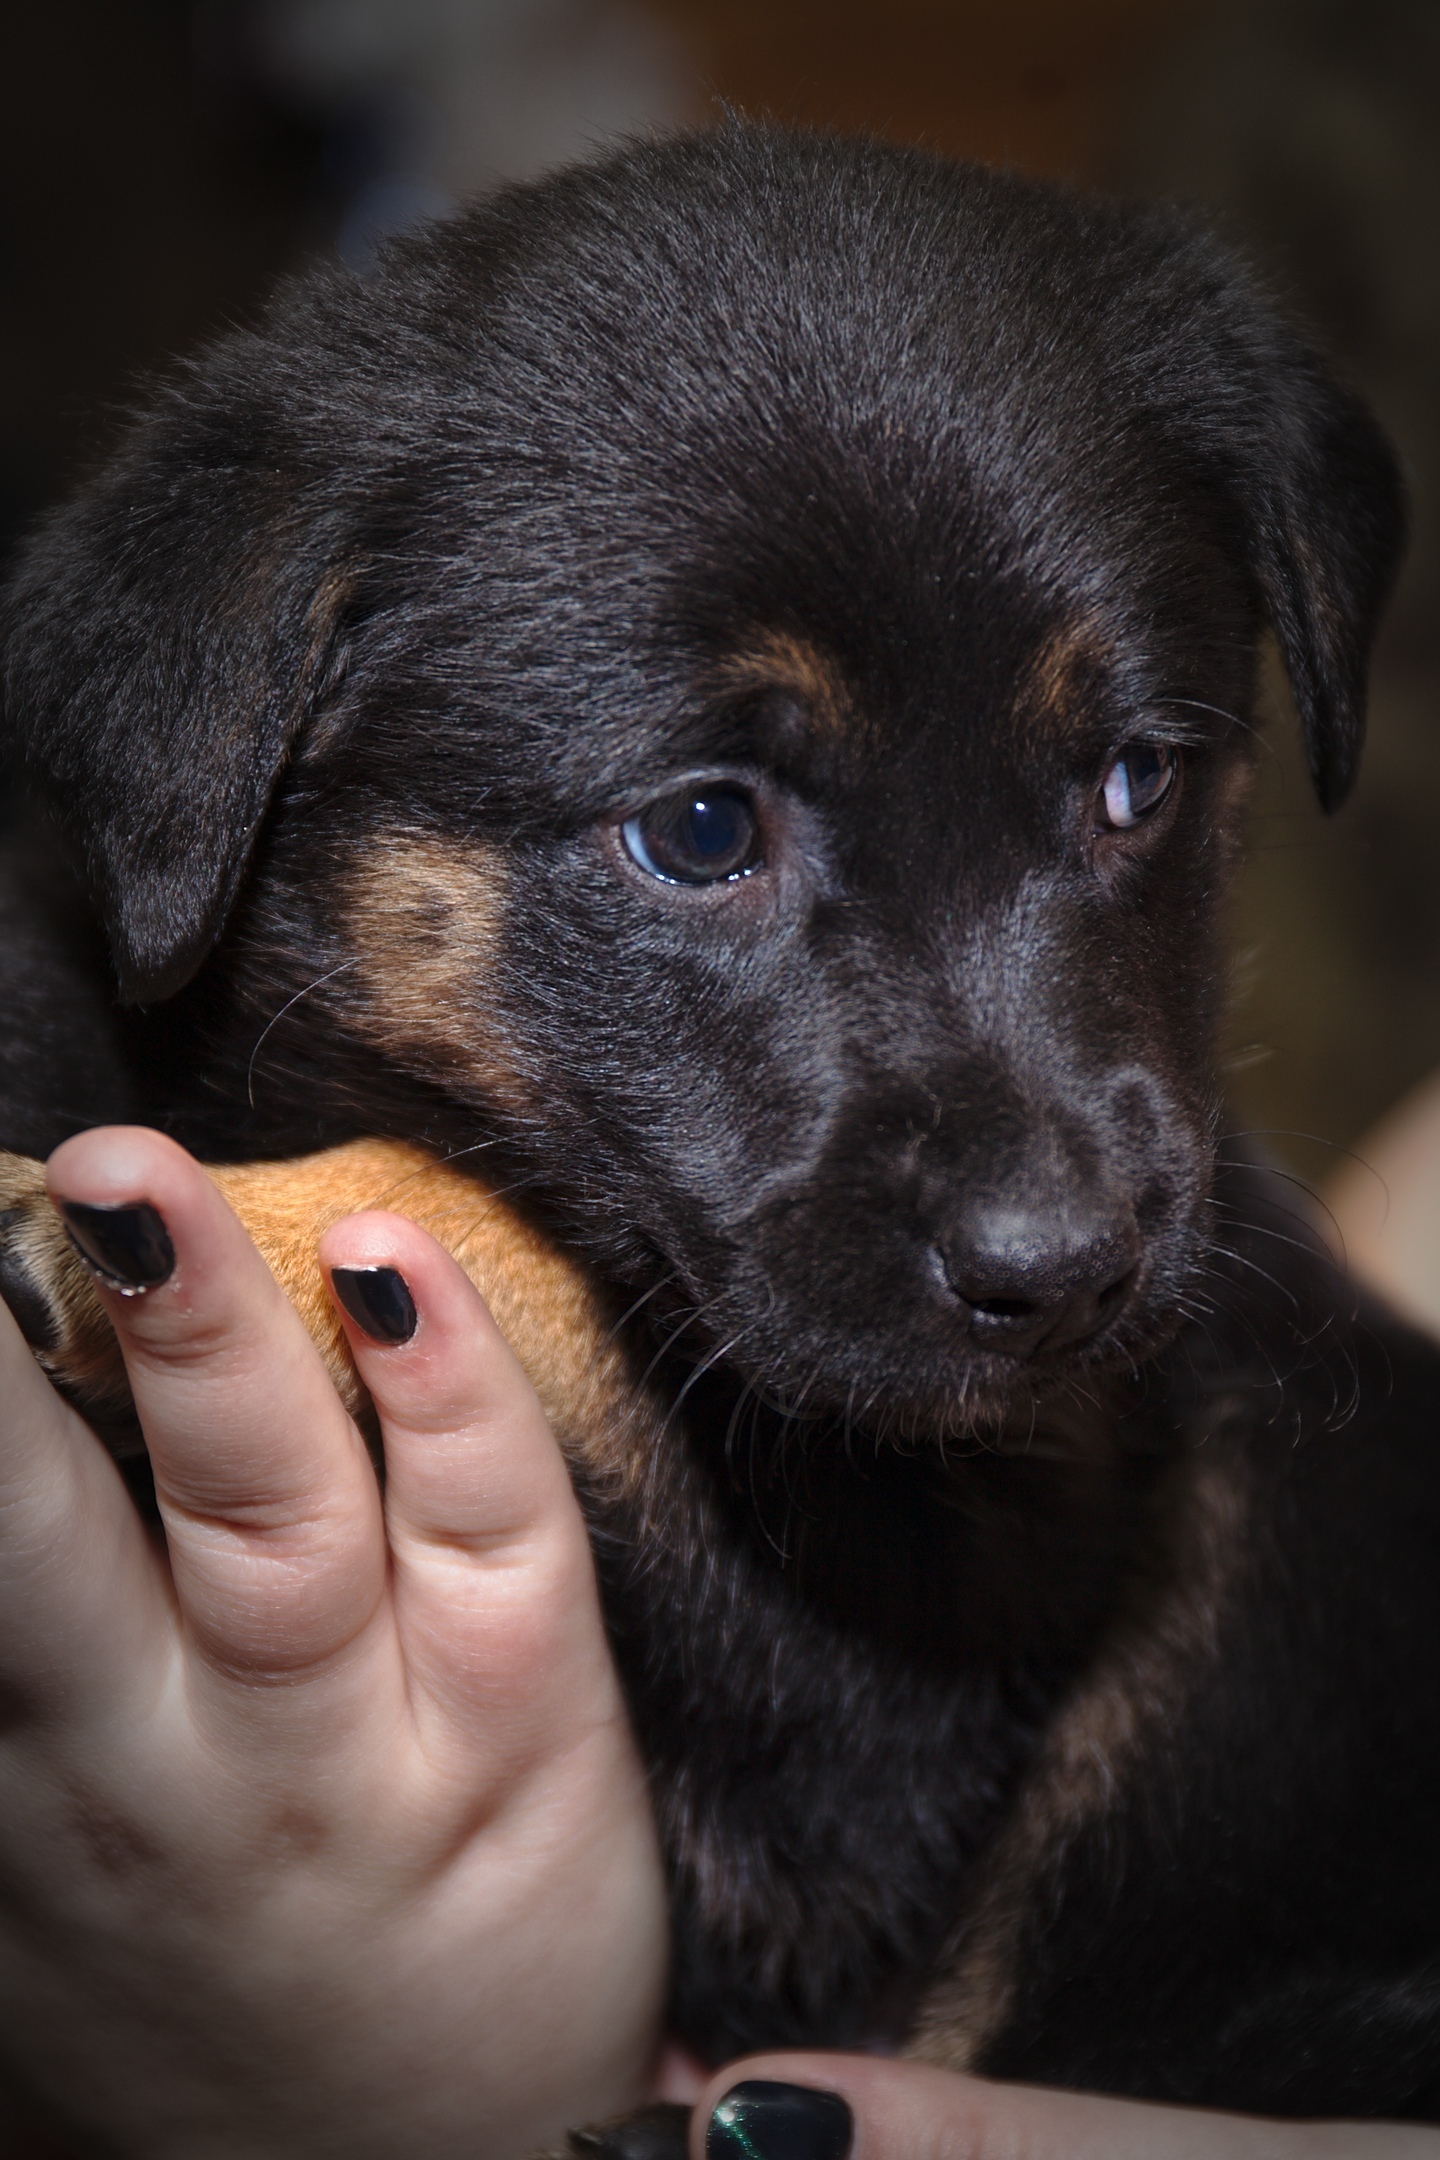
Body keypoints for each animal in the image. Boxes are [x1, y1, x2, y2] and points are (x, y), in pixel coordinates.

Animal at [2, 122, 1440, 2142]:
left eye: (1137, 782)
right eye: (697, 829)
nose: (1069, 1279)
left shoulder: (875, 1734)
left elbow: (523, 1257)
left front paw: (240, 1237)